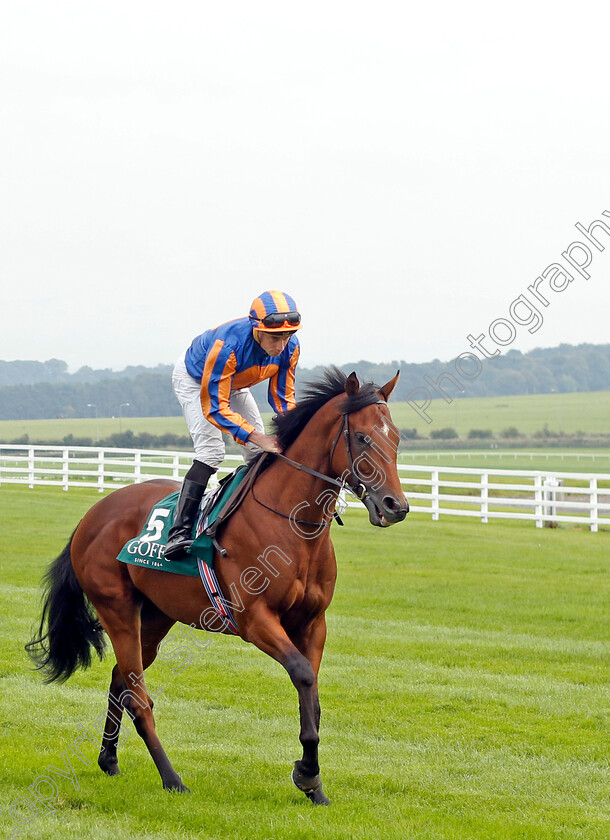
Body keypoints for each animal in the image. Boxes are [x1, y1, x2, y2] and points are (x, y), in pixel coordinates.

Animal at [27, 370, 408, 804]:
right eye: (361, 437)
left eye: (395, 437)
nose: (396, 506)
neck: (293, 525)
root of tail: (93, 514)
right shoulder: (255, 620)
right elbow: (303, 675)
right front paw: (307, 774)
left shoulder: (313, 622)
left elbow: (312, 696)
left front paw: (314, 783)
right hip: (117, 610)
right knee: (138, 698)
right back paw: (172, 778)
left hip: (156, 617)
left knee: (121, 681)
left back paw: (109, 759)